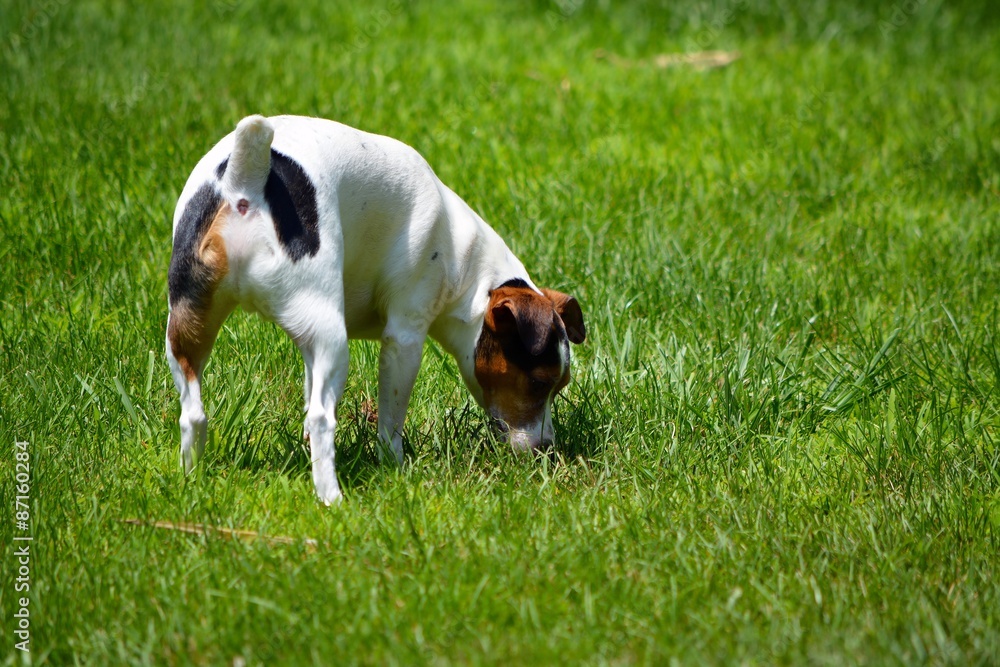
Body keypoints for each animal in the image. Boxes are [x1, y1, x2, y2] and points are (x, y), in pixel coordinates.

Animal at [165, 115, 584, 504]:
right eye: (538, 383)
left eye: (559, 387)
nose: (547, 449)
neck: (469, 268)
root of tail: (244, 183)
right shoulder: (405, 337)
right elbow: (391, 419)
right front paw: (394, 466)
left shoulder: (311, 348)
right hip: (332, 339)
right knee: (322, 416)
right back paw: (331, 498)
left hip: (188, 330)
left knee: (193, 413)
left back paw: (191, 481)